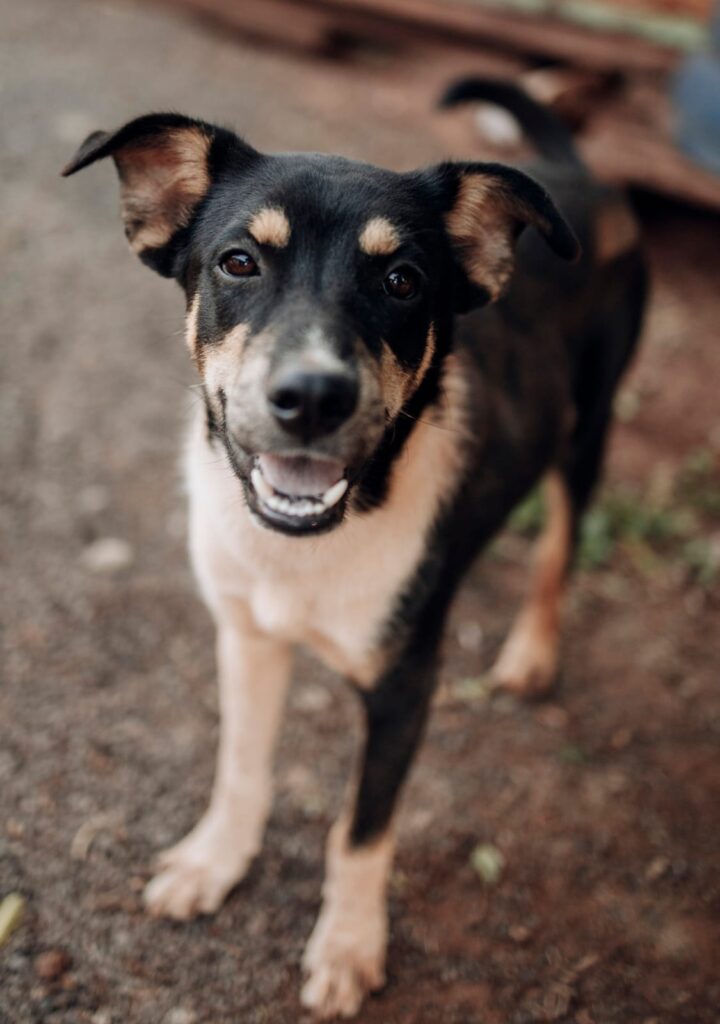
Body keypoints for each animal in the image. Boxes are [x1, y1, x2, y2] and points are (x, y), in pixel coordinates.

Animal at [63, 77, 647, 1015]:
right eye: (239, 263)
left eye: (403, 281)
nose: (311, 396)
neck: (307, 548)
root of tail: (579, 171)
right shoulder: (245, 635)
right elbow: (241, 766)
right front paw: (213, 862)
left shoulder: (406, 687)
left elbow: (362, 832)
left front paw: (347, 946)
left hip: (589, 425)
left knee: (559, 542)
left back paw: (531, 650)